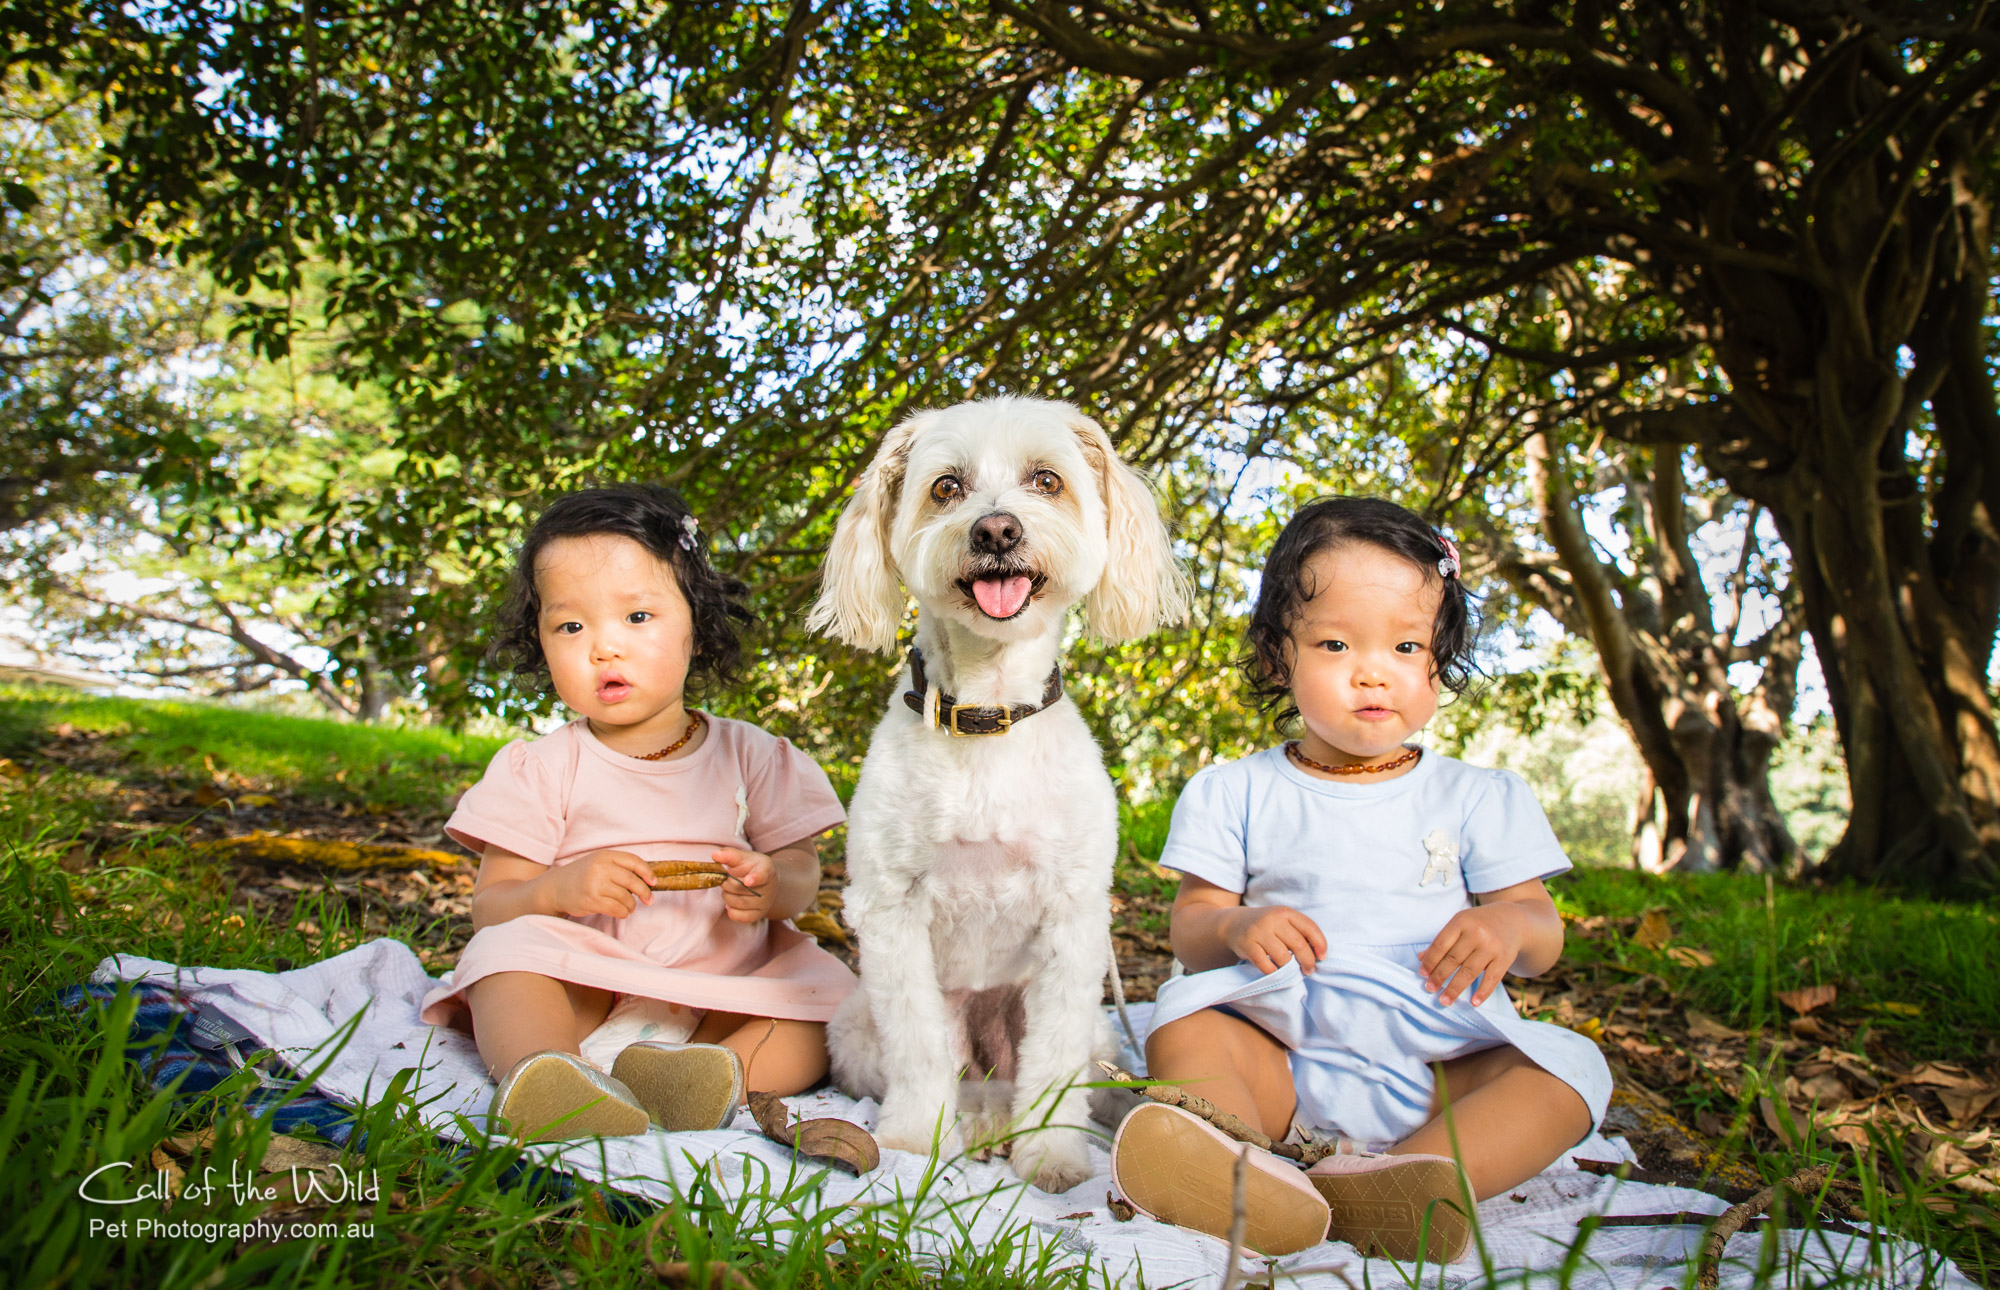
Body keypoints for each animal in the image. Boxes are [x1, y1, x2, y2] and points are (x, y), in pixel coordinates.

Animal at [812, 392, 1184, 1184]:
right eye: (946, 487)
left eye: (1046, 481)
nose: (996, 529)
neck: (988, 718)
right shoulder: (889, 915)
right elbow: (919, 1048)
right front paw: (915, 1141)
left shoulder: (1074, 924)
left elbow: (1052, 1062)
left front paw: (1052, 1155)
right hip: (855, 1028)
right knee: (959, 1075)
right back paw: (976, 1122)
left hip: (1097, 1030)